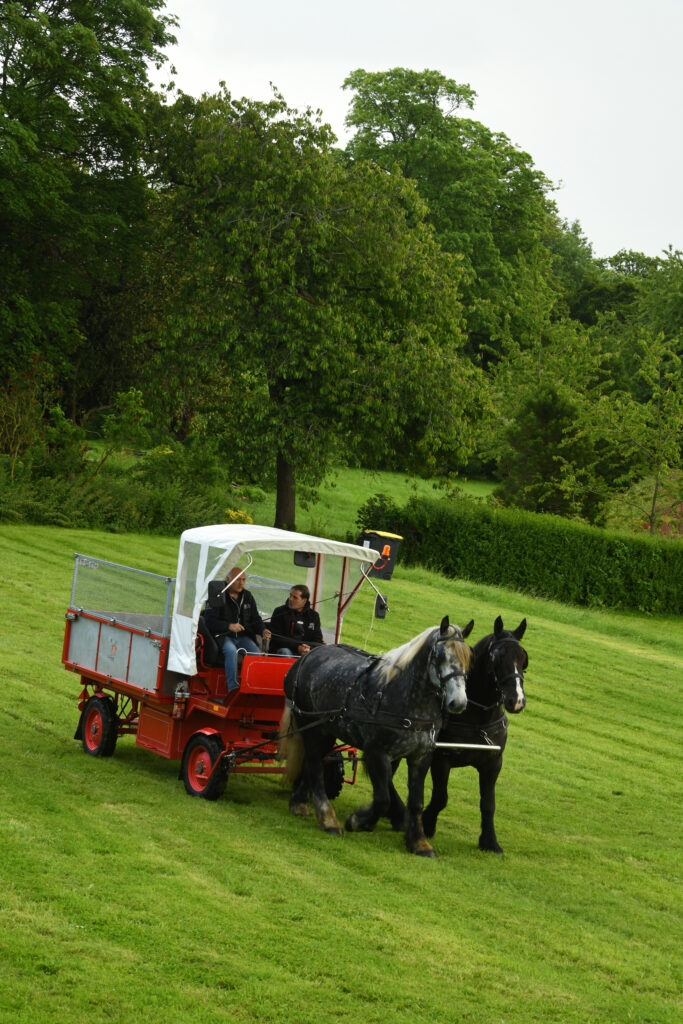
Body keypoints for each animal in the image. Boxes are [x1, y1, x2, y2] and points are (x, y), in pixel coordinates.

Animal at [280, 614, 473, 856]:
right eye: (440, 656)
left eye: (467, 658)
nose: (458, 703)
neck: (405, 699)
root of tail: (309, 655)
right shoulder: (377, 752)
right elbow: (382, 799)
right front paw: (357, 821)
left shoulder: (420, 757)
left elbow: (416, 802)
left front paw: (418, 842)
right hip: (311, 725)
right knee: (314, 764)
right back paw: (327, 819)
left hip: (327, 729)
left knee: (314, 763)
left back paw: (299, 802)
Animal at [421, 614, 528, 856]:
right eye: (497, 657)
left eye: (524, 660)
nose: (517, 700)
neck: (478, 719)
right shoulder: (442, 759)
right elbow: (441, 797)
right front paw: (427, 823)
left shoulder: (493, 764)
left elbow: (488, 804)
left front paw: (489, 841)